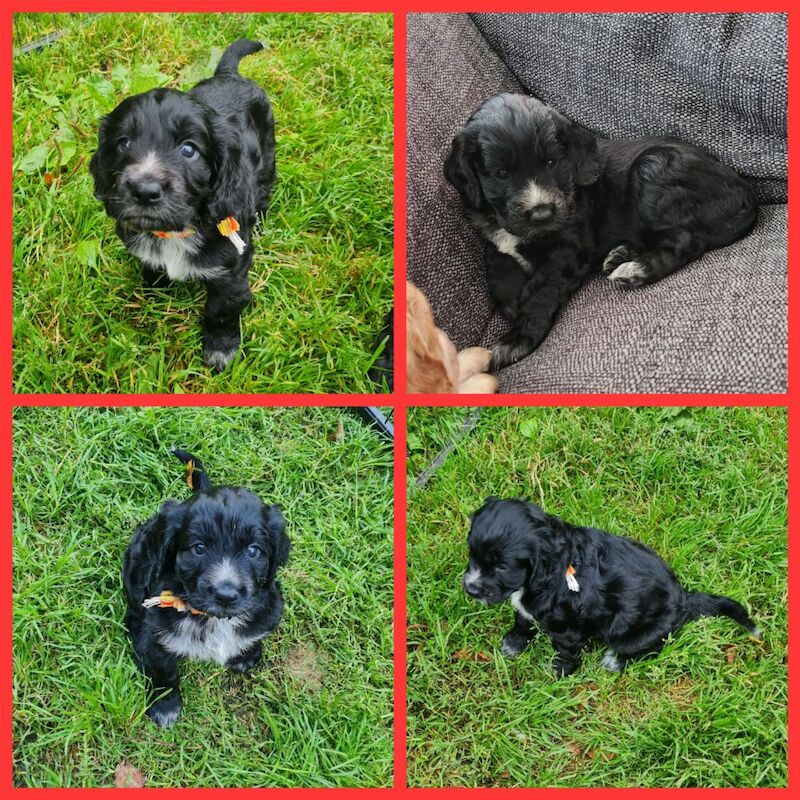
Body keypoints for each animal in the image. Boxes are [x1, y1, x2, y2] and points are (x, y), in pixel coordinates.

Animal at [91, 40, 276, 372]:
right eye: (123, 143)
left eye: (189, 150)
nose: (144, 191)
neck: (177, 231)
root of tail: (229, 74)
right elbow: (151, 267)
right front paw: (154, 290)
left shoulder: (232, 265)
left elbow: (221, 308)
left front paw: (220, 348)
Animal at [123, 446, 290, 728]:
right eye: (198, 548)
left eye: (253, 550)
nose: (226, 595)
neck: (213, 620)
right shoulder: (155, 635)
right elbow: (163, 672)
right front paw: (165, 707)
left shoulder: (269, 609)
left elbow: (256, 634)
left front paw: (247, 655)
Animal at [446, 95, 760, 370]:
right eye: (501, 173)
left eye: (551, 163)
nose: (542, 213)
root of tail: (745, 194)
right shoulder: (495, 242)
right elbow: (500, 274)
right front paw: (512, 304)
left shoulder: (569, 248)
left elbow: (540, 289)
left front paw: (518, 338)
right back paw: (620, 254)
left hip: (654, 166)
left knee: (686, 240)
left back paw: (636, 269)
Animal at [460, 500, 760, 676]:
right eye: (471, 553)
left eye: (501, 566)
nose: (470, 589)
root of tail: (685, 598)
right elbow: (522, 620)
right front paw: (513, 643)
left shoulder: (567, 629)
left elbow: (565, 651)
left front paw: (559, 673)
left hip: (636, 633)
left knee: (650, 649)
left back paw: (615, 661)